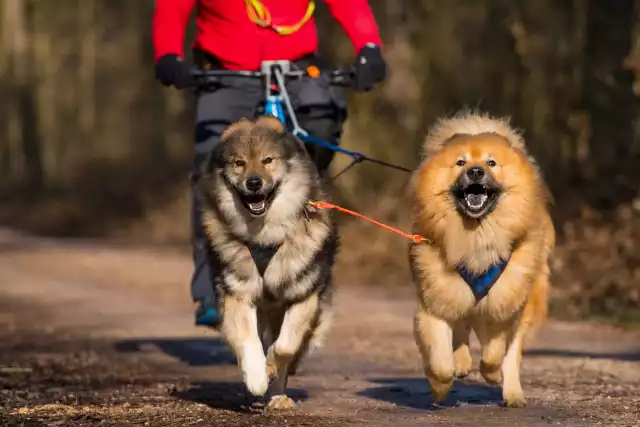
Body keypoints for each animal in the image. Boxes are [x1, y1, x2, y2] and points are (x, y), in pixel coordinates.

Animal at [410, 110, 556, 408]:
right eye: (460, 162)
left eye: (491, 163)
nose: (475, 171)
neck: (476, 238)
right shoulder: (436, 299)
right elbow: (440, 360)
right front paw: (441, 387)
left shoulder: (505, 300)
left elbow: (496, 351)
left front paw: (491, 373)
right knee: (463, 326)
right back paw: (462, 363)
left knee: (511, 353)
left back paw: (512, 392)